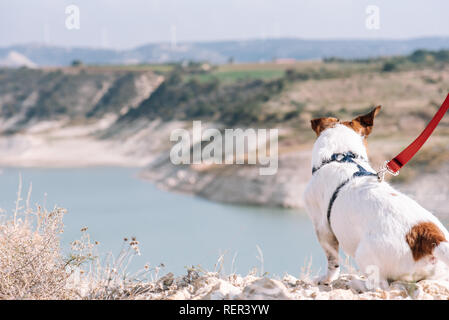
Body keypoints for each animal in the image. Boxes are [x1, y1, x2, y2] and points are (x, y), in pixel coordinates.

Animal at [300, 105, 448, 288]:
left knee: (378, 286)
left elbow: (332, 261)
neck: (342, 157)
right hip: (437, 274)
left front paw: (327, 279)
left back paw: (357, 283)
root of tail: (429, 238)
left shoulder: (323, 229)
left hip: (364, 254)